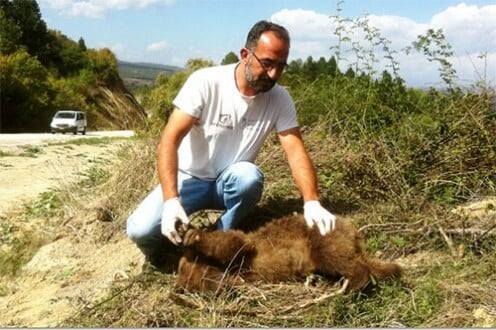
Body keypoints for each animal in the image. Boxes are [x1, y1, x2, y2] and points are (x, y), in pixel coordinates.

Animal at [176, 215, 402, 292]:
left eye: (179, 268)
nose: (177, 286)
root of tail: (353, 232)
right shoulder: (238, 274)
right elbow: (224, 282)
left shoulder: (250, 248)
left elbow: (233, 243)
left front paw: (192, 235)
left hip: (320, 236)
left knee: (333, 256)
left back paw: (353, 285)